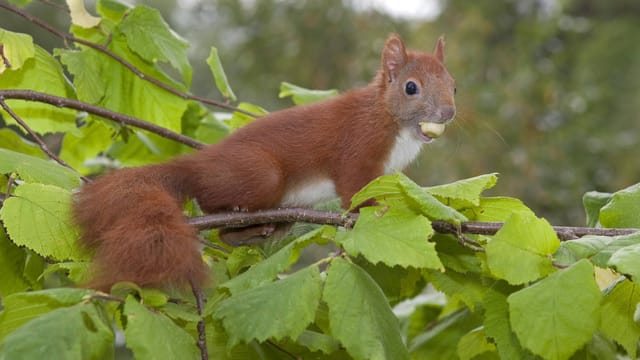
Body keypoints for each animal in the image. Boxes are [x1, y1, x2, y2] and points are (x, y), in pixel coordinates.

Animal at [74, 33, 456, 292]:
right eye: (411, 87)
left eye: (453, 85)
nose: (448, 113)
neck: (391, 121)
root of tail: (199, 163)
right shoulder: (357, 149)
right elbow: (353, 189)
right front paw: (367, 212)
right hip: (262, 176)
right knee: (215, 212)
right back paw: (245, 218)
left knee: (227, 233)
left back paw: (262, 230)